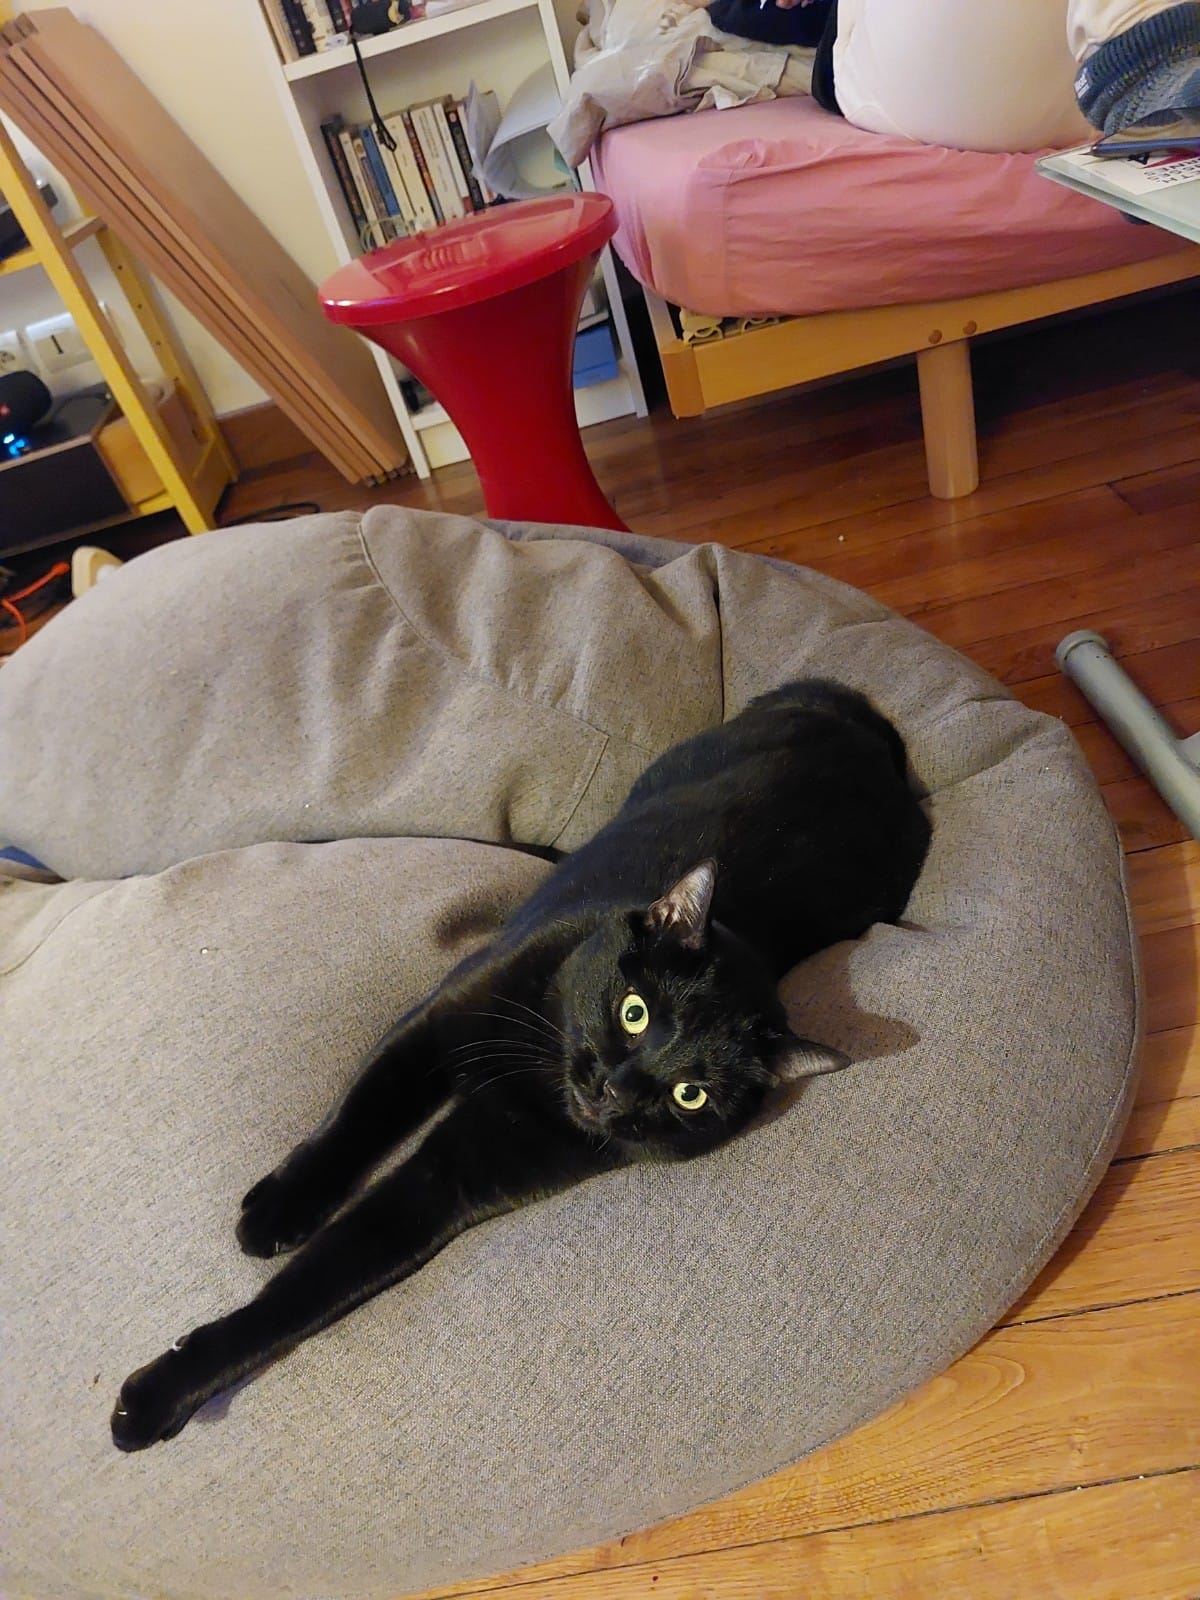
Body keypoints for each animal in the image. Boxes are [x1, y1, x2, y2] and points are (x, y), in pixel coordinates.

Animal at [111, 677, 931, 1451]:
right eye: (635, 1013)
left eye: (691, 1096)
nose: (616, 1089)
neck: (540, 1069)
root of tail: (863, 728)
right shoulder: (434, 1029)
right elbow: (355, 1120)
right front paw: (277, 1214)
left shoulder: (448, 1183)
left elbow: (307, 1291)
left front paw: (154, 1397)